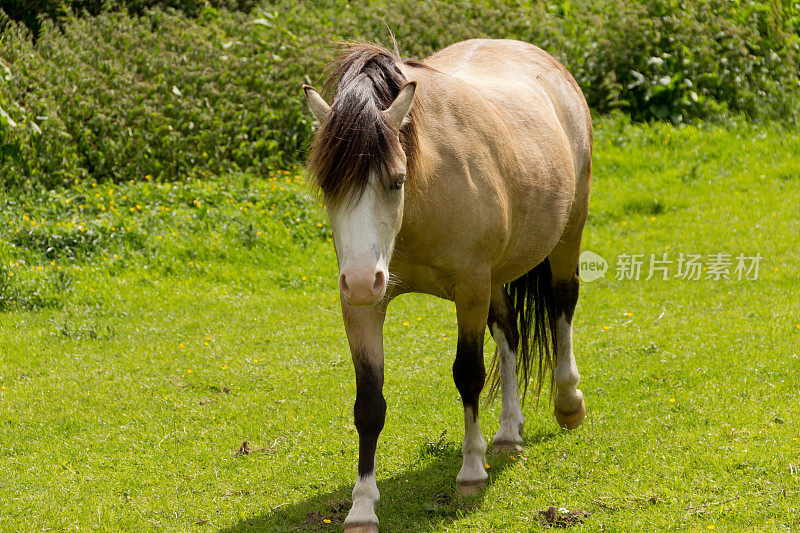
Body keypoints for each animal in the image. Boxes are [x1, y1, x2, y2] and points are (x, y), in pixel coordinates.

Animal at [304, 39, 592, 528]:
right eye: (328, 187)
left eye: (396, 181)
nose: (361, 280)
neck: (425, 193)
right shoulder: (365, 307)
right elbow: (369, 404)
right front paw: (362, 506)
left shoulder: (470, 288)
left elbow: (468, 375)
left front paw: (472, 471)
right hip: (495, 278)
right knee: (510, 334)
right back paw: (509, 434)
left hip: (566, 236)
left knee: (561, 303)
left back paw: (568, 402)